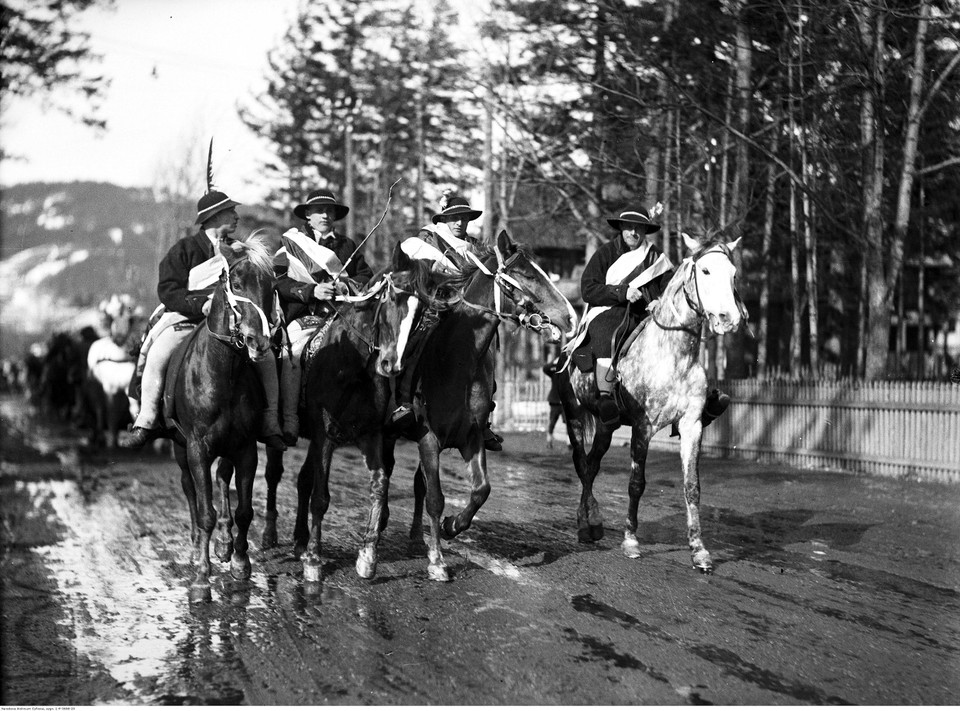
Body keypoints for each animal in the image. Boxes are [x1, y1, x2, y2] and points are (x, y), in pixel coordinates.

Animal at [164, 235, 278, 600]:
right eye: (237, 284)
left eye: (271, 286)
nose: (259, 341)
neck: (222, 374)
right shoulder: (197, 448)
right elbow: (205, 512)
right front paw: (202, 578)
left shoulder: (244, 448)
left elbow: (243, 510)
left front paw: (240, 562)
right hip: (180, 448)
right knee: (190, 490)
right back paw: (196, 548)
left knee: (222, 480)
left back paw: (225, 545)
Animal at [388, 231, 576, 580]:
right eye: (528, 275)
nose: (569, 315)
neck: (456, 361)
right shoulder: (428, 439)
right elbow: (436, 497)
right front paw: (437, 561)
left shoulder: (472, 438)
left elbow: (480, 490)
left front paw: (451, 526)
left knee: (419, 484)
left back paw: (416, 535)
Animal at [560, 236, 748, 576]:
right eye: (705, 270)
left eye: (734, 273)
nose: (730, 319)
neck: (675, 357)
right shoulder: (642, 427)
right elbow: (636, 483)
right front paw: (631, 540)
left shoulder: (692, 426)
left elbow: (692, 486)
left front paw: (699, 550)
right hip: (574, 416)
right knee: (581, 464)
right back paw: (584, 524)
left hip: (606, 426)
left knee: (591, 466)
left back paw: (592, 522)